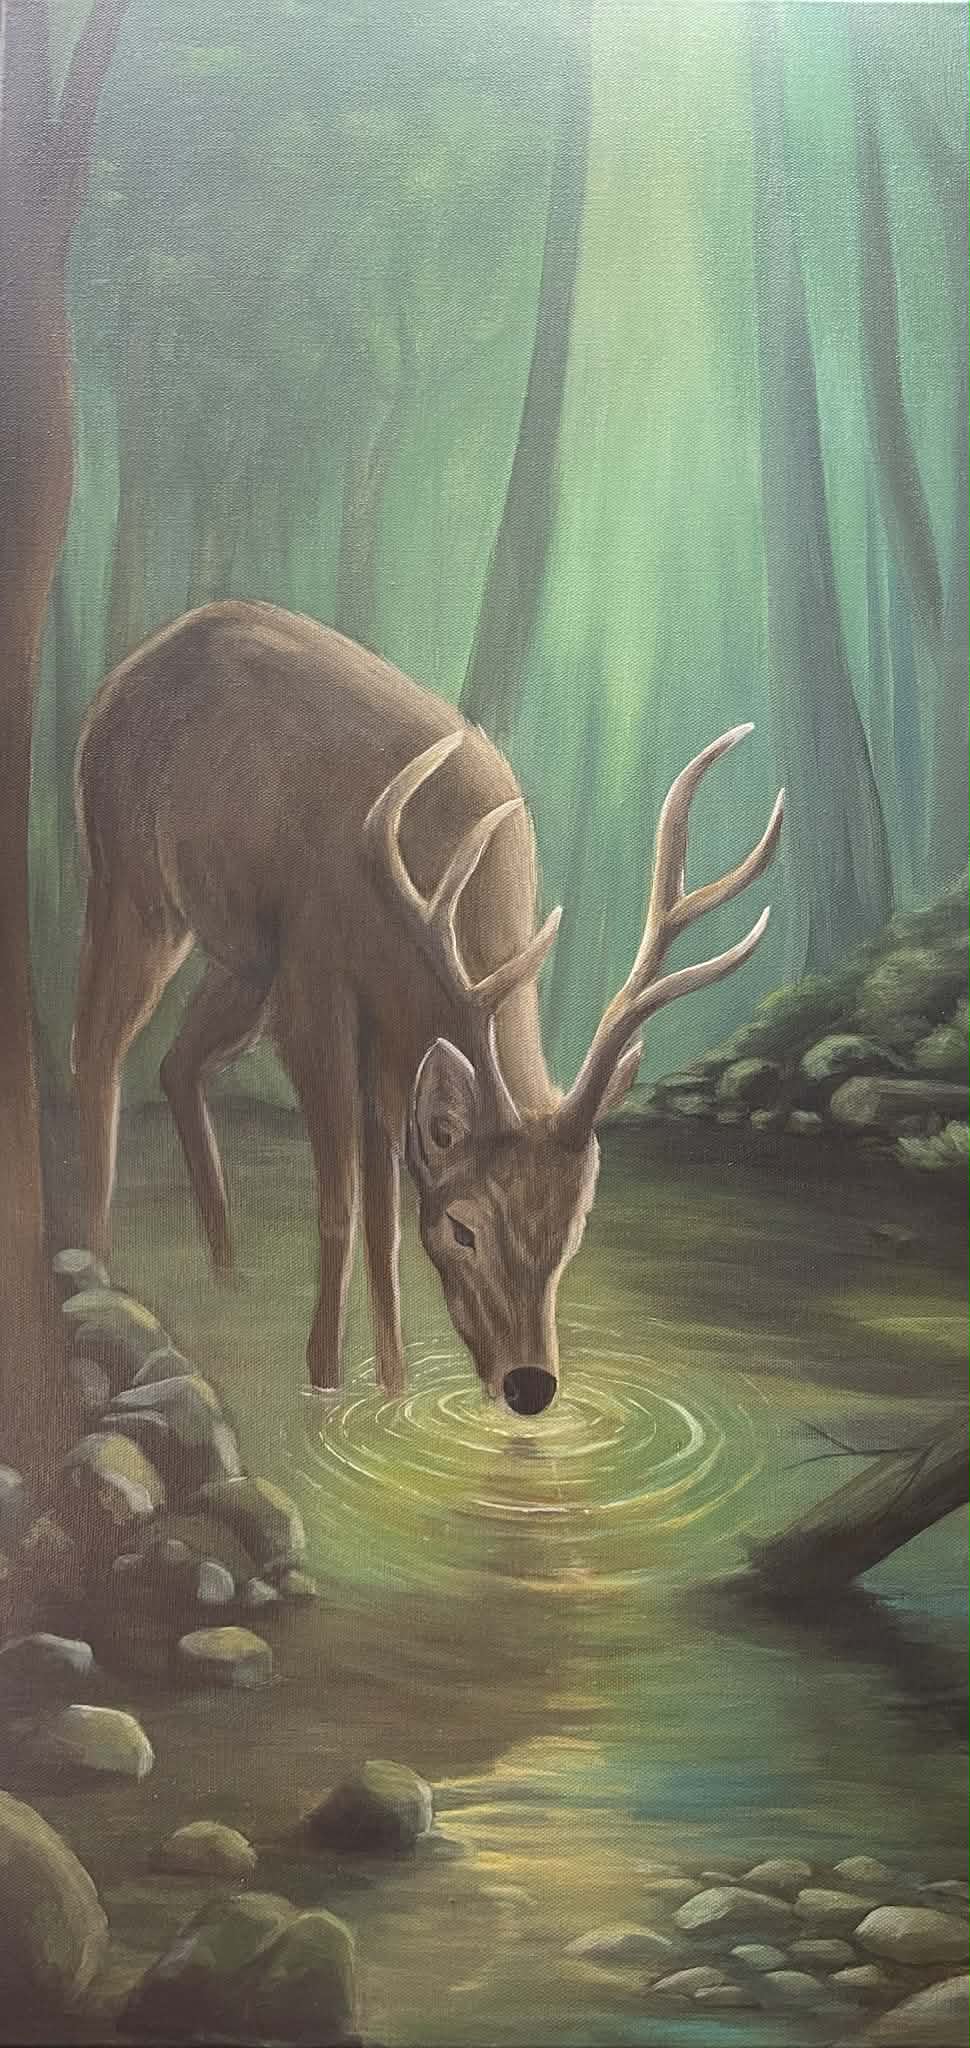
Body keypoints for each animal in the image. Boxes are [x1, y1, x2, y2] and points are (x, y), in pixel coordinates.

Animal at [73, 600, 783, 1416]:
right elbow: (344, 1205)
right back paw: (95, 1263)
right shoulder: (315, 980)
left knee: (177, 1061)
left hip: (243, 961)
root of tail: (122, 676)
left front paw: (392, 1387)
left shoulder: (389, 1031)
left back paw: (226, 1273)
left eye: (572, 1234)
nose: (531, 1386)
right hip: (132, 879)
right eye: (464, 1229)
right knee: (96, 1048)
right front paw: (323, 1383)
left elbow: (386, 1220)